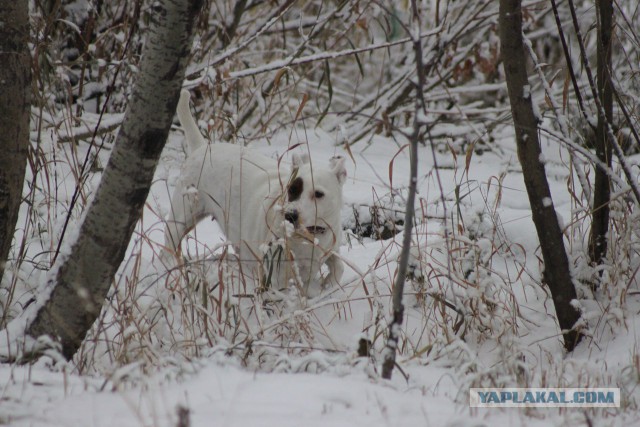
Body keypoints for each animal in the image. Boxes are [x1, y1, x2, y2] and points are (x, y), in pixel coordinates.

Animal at [165, 90, 344, 294]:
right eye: (292, 189)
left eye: (319, 194)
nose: (290, 215)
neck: (308, 235)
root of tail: (202, 147)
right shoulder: (274, 270)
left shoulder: (330, 247)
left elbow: (339, 266)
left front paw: (328, 285)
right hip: (182, 216)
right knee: (169, 243)